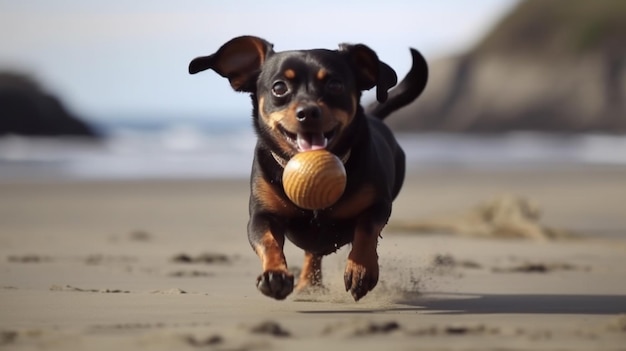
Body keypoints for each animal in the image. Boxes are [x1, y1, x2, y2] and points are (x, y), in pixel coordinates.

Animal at [188, 35, 426, 302]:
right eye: (279, 87)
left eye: (335, 84)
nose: (309, 112)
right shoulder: (261, 216)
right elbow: (268, 242)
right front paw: (275, 275)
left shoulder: (378, 205)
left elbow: (366, 229)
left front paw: (361, 270)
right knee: (312, 252)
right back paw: (308, 282)